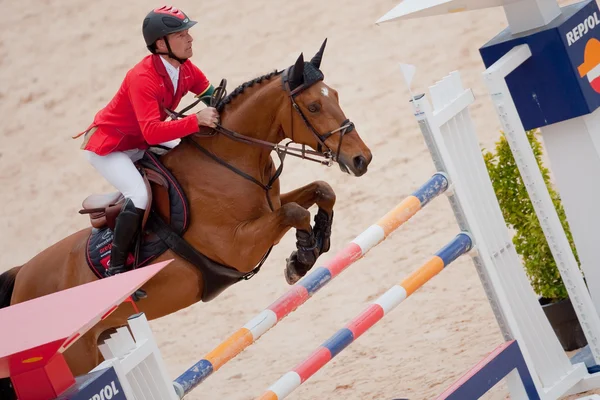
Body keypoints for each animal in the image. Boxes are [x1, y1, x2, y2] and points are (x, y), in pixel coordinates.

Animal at [0, 39, 372, 390]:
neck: (229, 161)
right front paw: (303, 256)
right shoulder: (236, 248)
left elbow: (322, 190)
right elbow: (295, 212)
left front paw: (318, 239)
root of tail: (21, 278)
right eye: (313, 106)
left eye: (335, 95)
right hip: (74, 359)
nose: (361, 159)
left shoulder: (271, 207)